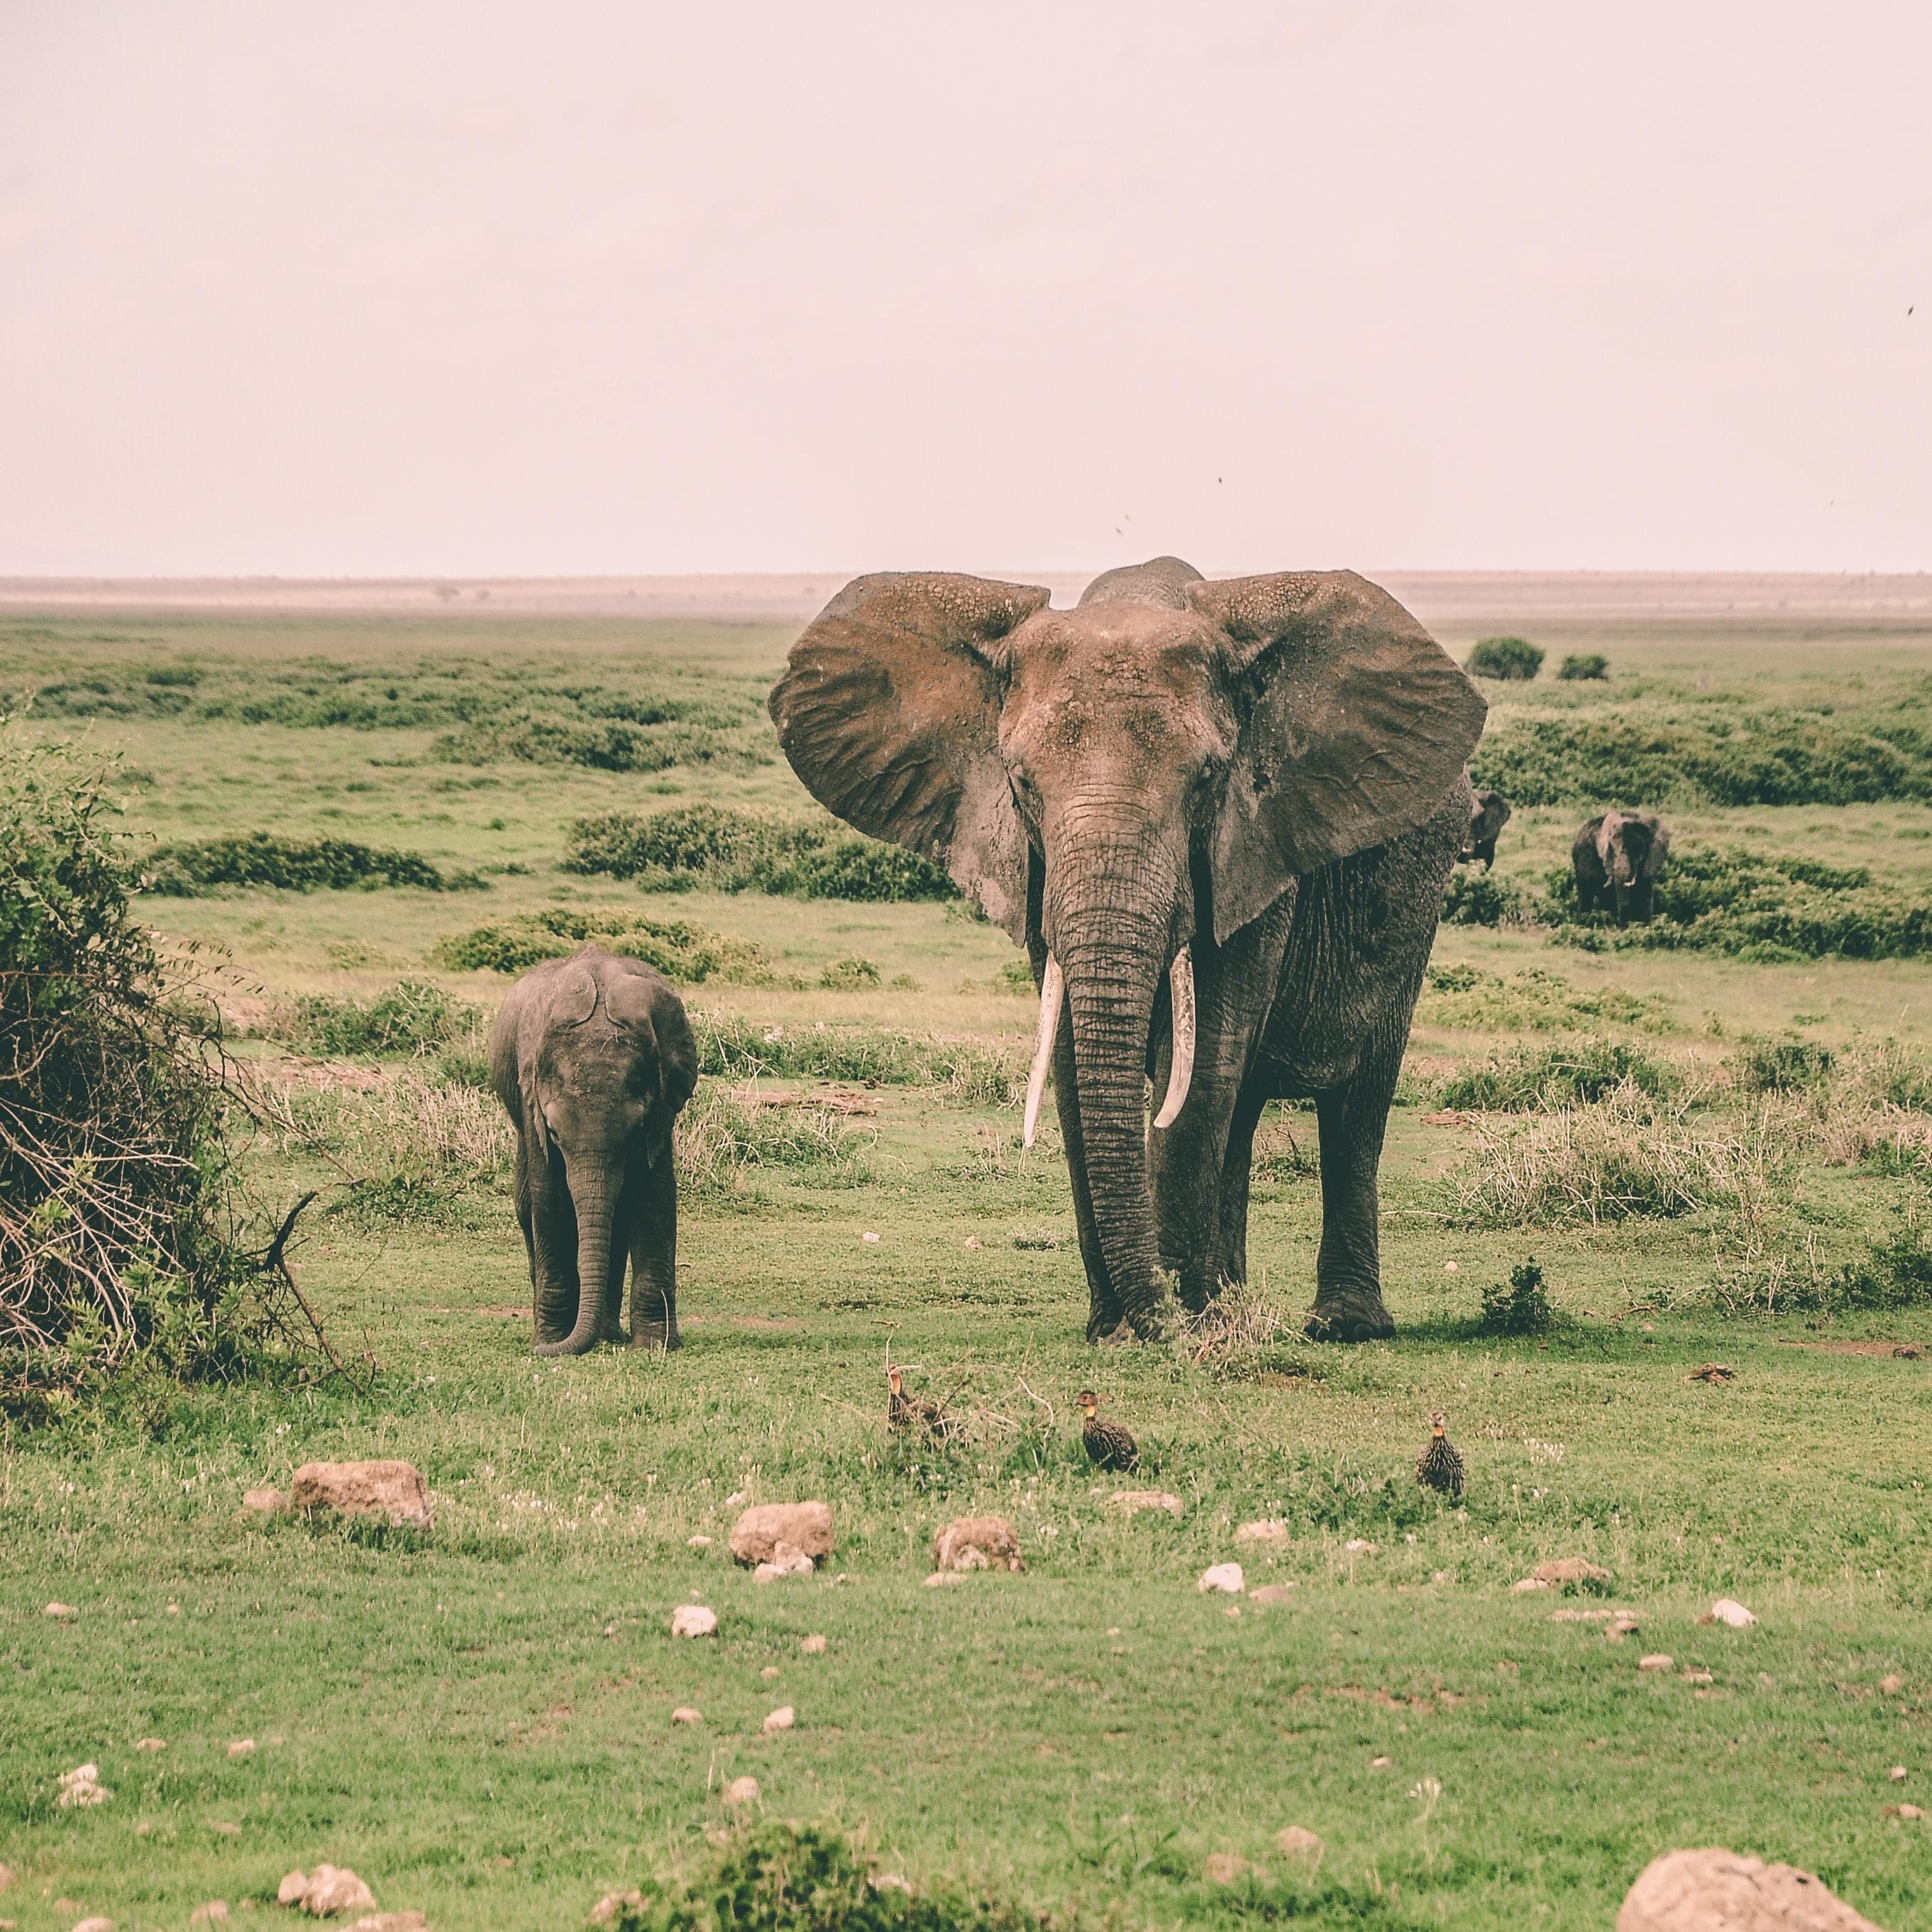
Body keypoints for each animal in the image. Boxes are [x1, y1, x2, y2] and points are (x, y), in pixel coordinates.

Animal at [489, 945, 697, 1355]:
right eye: (554, 1134)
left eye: (635, 1132)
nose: (537, 1352)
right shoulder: (532, 1100)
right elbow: (549, 1199)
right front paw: (550, 1340)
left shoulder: (661, 1107)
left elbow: (654, 1198)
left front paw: (655, 1346)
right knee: (526, 1205)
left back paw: (608, 1335)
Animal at [769, 556, 1486, 1343]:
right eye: (1020, 782)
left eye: (1206, 778)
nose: (1148, 1318)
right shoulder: (1037, 876)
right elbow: (1073, 1063)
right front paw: (1121, 1328)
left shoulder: (1252, 849)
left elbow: (1201, 1068)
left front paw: (1172, 1328)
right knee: (1244, 1109)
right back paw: (1229, 1307)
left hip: (1416, 902)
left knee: (1354, 1102)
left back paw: (1335, 1324)